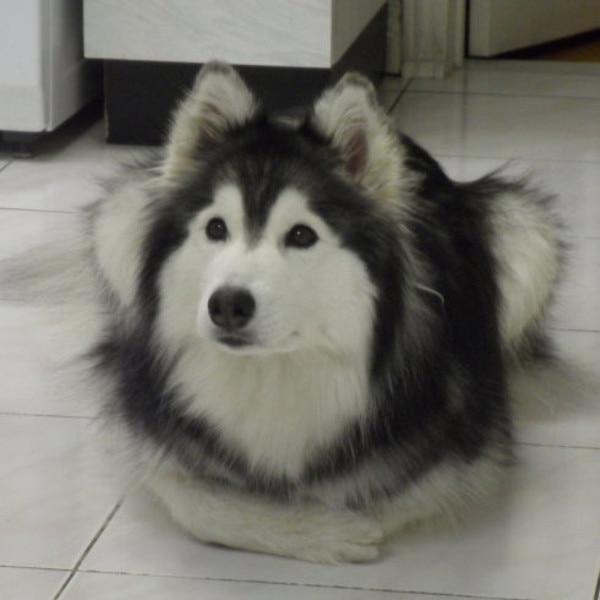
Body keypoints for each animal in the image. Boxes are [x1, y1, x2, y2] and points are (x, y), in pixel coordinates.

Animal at [2, 63, 564, 564]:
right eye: (216, 228)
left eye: (301, 235)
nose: (227, 304)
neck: (277, 368)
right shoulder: (141, 424)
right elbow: (194, 502)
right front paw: (319, 532)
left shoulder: (472, 448)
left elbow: (389, 493)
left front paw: (335, 521)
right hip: (118, 220)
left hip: (524, 228)